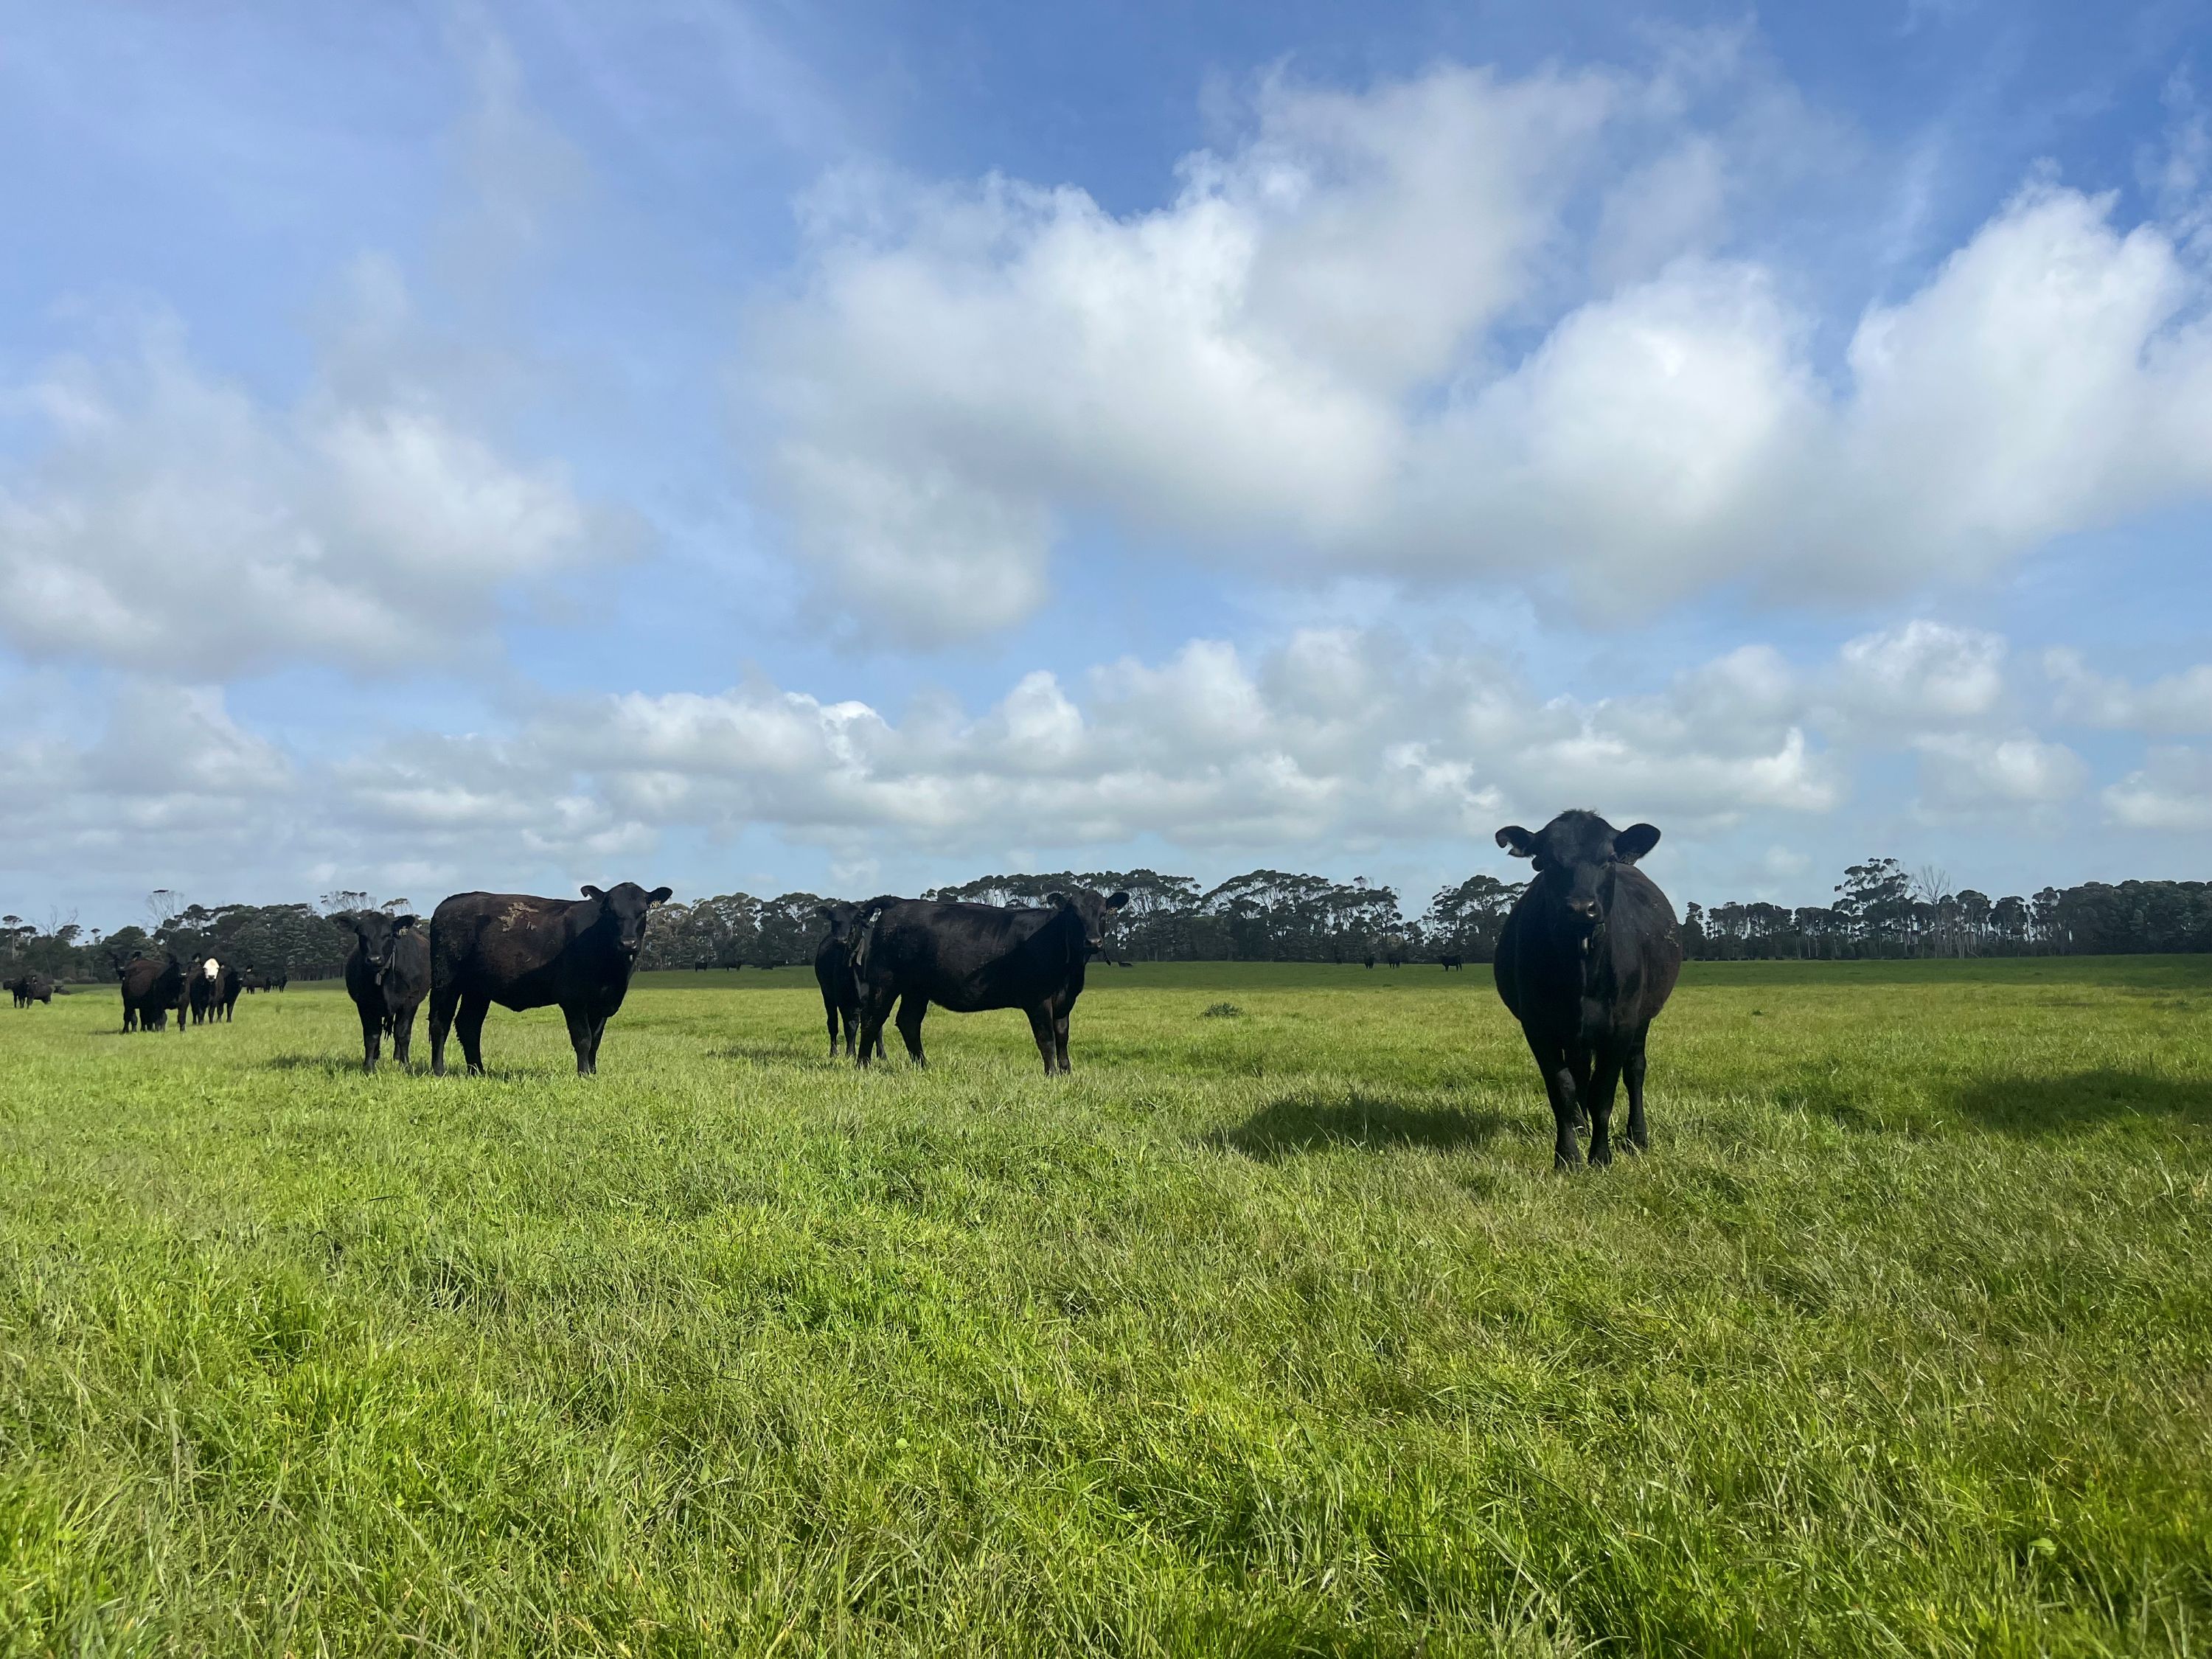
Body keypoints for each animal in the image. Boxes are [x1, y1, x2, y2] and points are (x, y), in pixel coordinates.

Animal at [342, 912, 429, 1073]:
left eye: (388, 935)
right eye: (362, 935)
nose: (374, 959)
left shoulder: (410, 1001)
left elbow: (403, 1034)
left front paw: (405, 1065)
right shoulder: (364, 1003)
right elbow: (372, 1035)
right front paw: (369, 1066)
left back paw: (397, 1057)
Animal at [427, 883, 671, 1076]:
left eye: (643, 912)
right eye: (609, 911)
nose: (628, 943)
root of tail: (451, 901)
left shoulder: (603, 1003)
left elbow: (596, 1040)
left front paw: (593, 1072)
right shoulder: (573, 999)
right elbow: (583, 1039)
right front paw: (583, 1074)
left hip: (477, 990)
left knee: (469, 1025)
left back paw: (478, 1071)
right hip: (445, 981)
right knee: (440, 1023)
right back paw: (439, 1071)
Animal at [849, 887, 1129, 1074]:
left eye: (1104, 914)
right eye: (1074, 915)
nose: (1093, 942)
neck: (1069, 972)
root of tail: (898, 902)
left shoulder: (1065, 1001)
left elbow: (1062, 1037)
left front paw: (1066, 1072)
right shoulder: (1038, 999)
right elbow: (1046, 1038)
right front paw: (1051, 1074)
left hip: (917, 989)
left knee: (908, 1021)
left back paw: (923, 1066)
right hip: (885, 981)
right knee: (873, 1019)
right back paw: (863, 1065)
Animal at [1492, 810, 1682, 1170]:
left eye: (1608, 859)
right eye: (1546, 861)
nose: (1581, 908)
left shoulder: (1621, 1025)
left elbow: (1603, 1092)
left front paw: (1601, 1156)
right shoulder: (1538, 1026)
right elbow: (1562, 1089)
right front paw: (1568, 1156)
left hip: (1642, 1019)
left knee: (1635, 1070)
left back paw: (1637, 1136)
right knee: (1580, 1072)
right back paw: (1581, 1127)